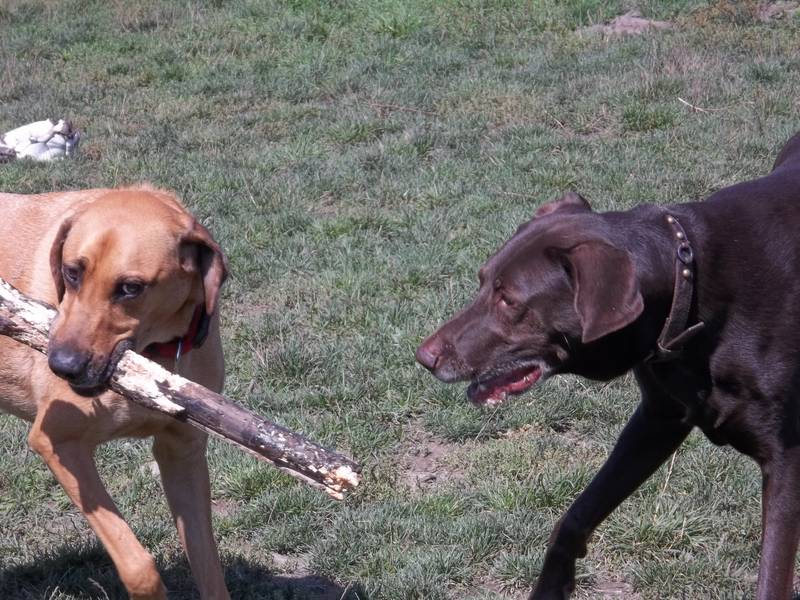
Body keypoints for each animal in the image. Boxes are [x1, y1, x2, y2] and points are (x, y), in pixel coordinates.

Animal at [0, 185, 229, 599]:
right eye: (72, 273)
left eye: (131, 288)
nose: (62, 365)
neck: (154, 356)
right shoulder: (56, 442)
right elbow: (138, 565)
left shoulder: (182, 452)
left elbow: (208, 565)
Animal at [416, 131, 800, 599]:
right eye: (482, 280)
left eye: (509, 300)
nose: (425, 357)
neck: (691, 289)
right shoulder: (658, 418)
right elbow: (576, 515)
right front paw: (552, 583)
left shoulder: (786, 460)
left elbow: (772, 575)